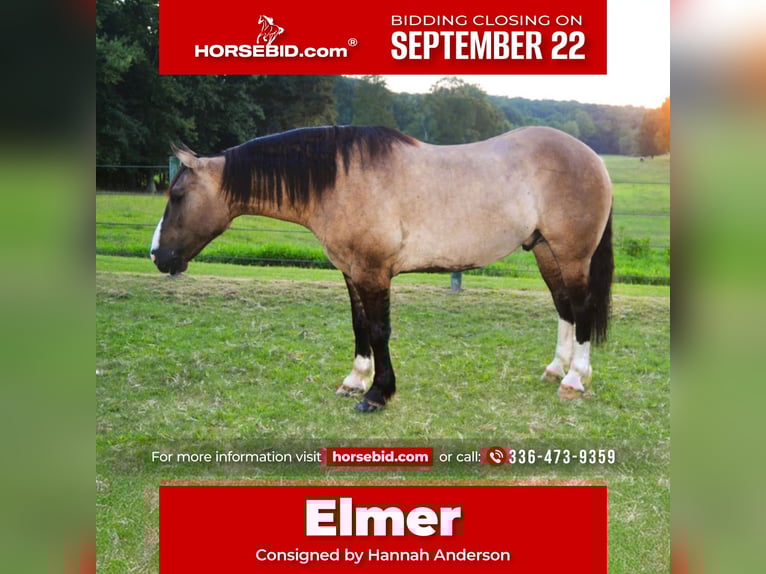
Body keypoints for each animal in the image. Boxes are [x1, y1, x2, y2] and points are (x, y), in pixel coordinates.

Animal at [151, 125, 613, 411]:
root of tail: (593, 158)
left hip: (572, 255)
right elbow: (359, 326)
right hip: (545, 252)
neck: (342, 180)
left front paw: (377, 393)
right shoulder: (351, 271)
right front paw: (355, 379)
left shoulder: (373, 272)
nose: (157, 255)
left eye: (178, 196)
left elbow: (378, 330)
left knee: (582, 309)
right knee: (564, 308)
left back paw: (575, 379)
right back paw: (556, 369)